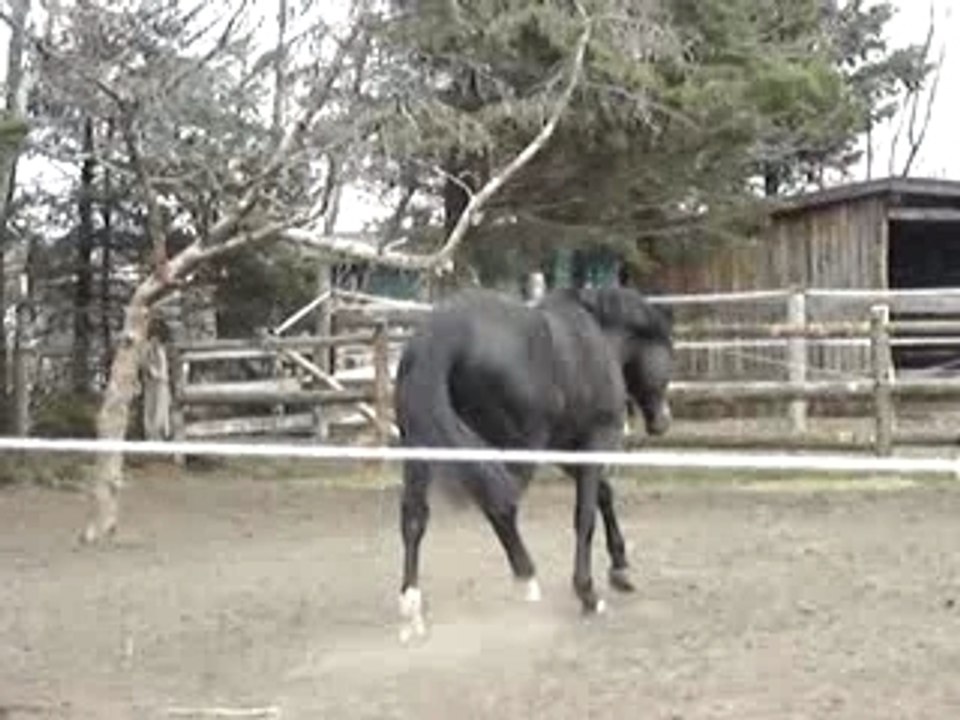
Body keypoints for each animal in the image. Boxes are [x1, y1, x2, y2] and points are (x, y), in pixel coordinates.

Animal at [392, 285, 674, 642]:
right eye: (667, 351)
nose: (663, 421)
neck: (598, 336)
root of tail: (441, 335)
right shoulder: (596, 439)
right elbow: (585, 516)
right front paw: (588, 593)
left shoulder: (566, 449)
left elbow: (604, 495)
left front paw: (620, 570)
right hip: (515, 448)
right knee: (501, 507)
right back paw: (527, 579)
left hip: (421, 447)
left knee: (415, 518)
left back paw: (411, 608)